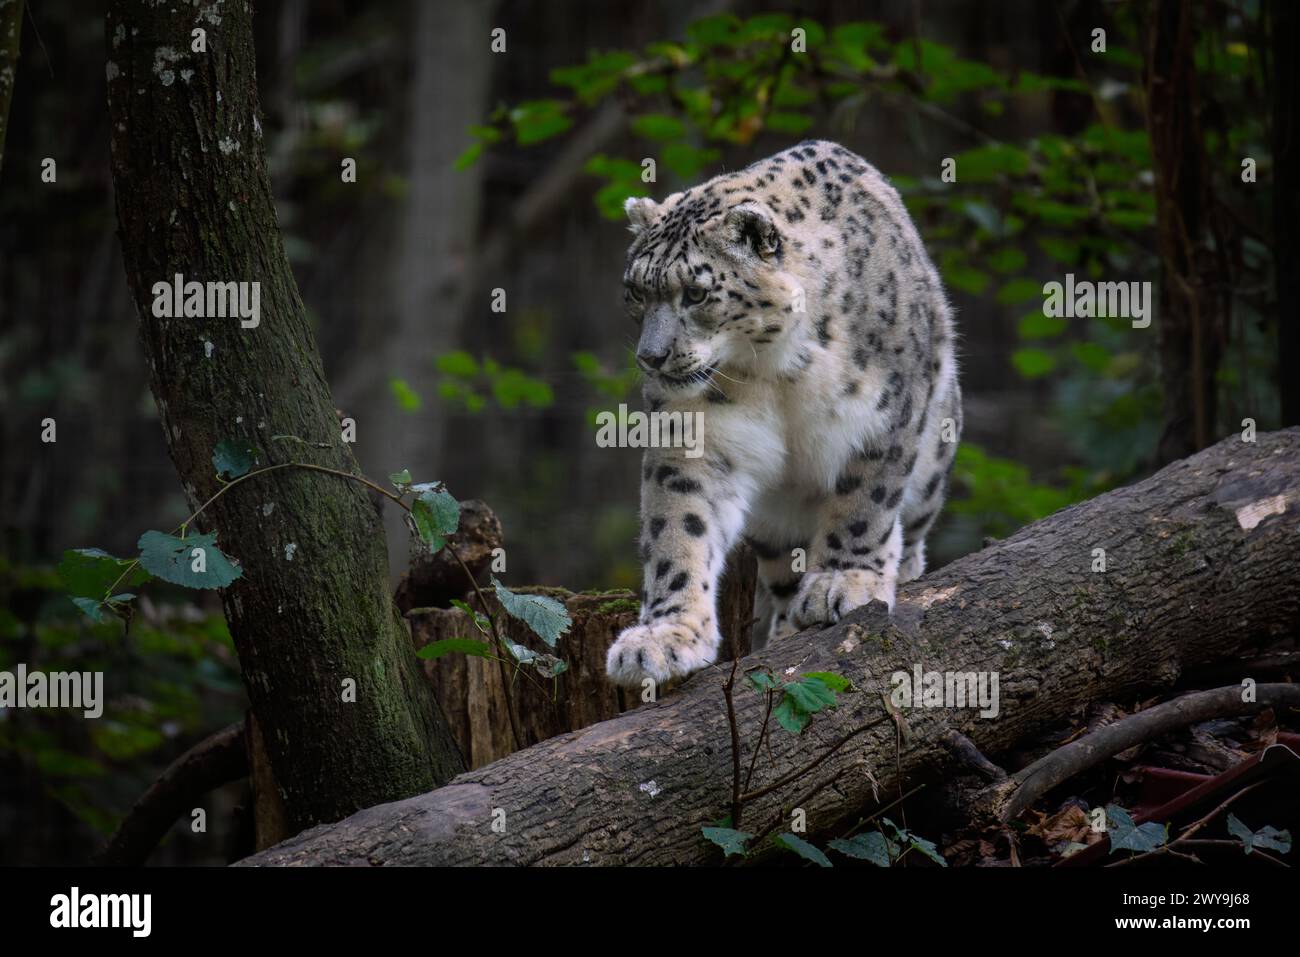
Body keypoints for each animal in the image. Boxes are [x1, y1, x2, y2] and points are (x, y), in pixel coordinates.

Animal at [603, 138, 961, 686]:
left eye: (697, 292)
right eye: (636, 291)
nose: (651, 357)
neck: (775, 369)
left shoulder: (887, 410)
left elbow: (866, 500)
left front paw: (843, 581)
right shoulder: (694, 435)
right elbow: (679, 528)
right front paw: (664, 636)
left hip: (932, 468)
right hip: (772, 528)